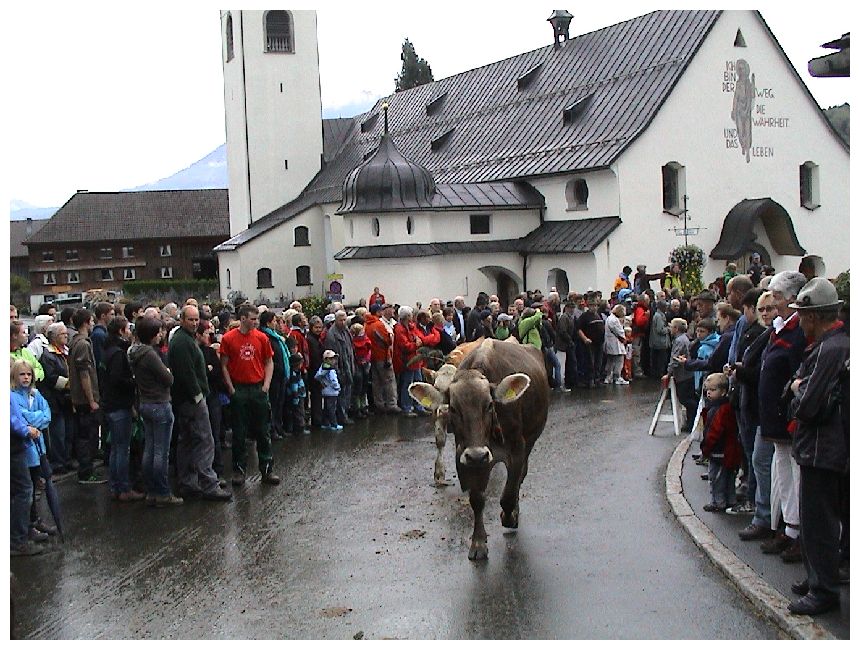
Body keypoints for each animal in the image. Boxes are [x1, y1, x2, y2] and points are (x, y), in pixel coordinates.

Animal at [409, 338, 550, 560]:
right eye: (454, 408)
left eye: (490, 405)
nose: (443, 411)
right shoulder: (466, 455)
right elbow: (476, 500)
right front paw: (478, 543)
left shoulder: (516, 450)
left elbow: (509, 494)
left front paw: (509, 517)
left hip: (530, 440)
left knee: (520, 479)